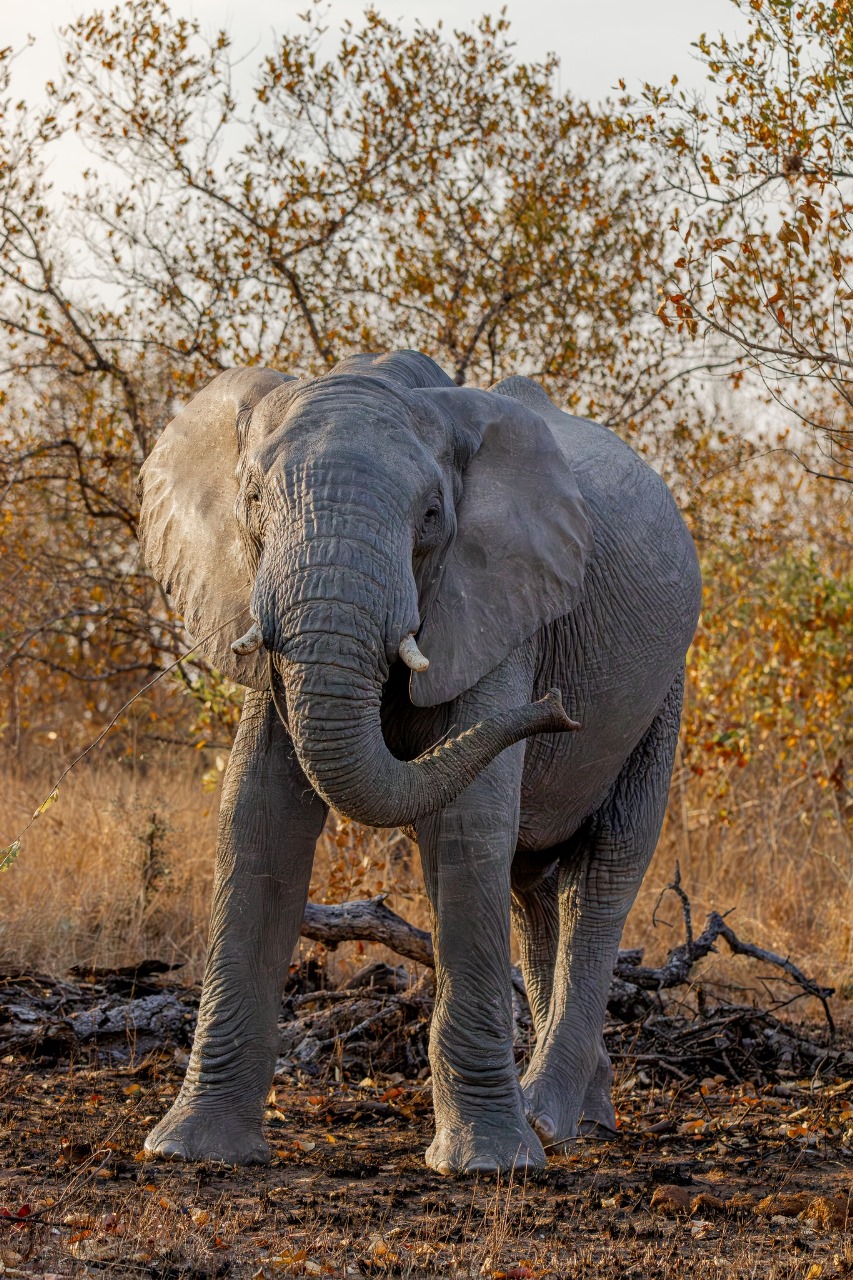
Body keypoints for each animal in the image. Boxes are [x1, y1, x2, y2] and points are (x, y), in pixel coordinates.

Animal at [136, 350, 701, 1176]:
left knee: (602, 873)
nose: (558, 708)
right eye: (252, 500)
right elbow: (259, 811)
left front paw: (486, 1166)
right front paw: (193, 1153)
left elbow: (466, 824)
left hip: (664, 688)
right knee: (531, 887)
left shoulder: (502, 598)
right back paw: (578, 1120)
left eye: (431, 515)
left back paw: (547, 1122)